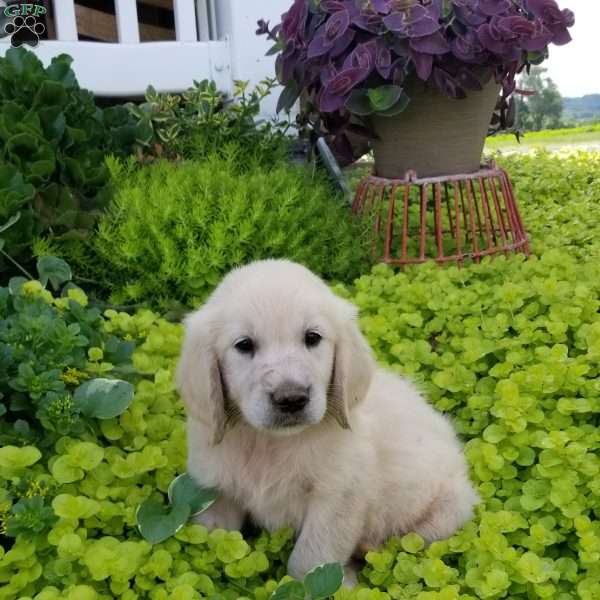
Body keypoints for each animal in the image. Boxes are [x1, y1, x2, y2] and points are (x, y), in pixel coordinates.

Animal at [178, 260, 478, 584]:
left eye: (312, 338)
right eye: (243, 345)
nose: (291, 398)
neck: (272, 443)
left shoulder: (337, 498)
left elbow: (311, 558)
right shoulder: (217, 489)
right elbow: (213, 534)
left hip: (447, 510)